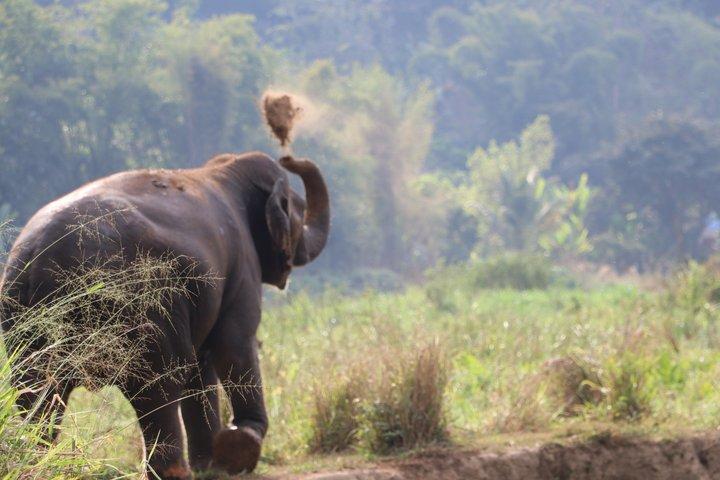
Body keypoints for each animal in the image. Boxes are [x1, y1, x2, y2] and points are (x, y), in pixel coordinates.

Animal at [0, 152, 329, 479]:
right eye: (300, 210)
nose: (289, 157)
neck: (224, 169)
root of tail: (43, 257)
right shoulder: (242, 267)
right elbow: (234, 345)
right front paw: (240, 448)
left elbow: (202, 366)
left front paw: (210, 465)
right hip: (148, 308)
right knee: (158, 387)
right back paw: (174, 472)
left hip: (24, 317)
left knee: (38, 391)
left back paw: (37, 462)